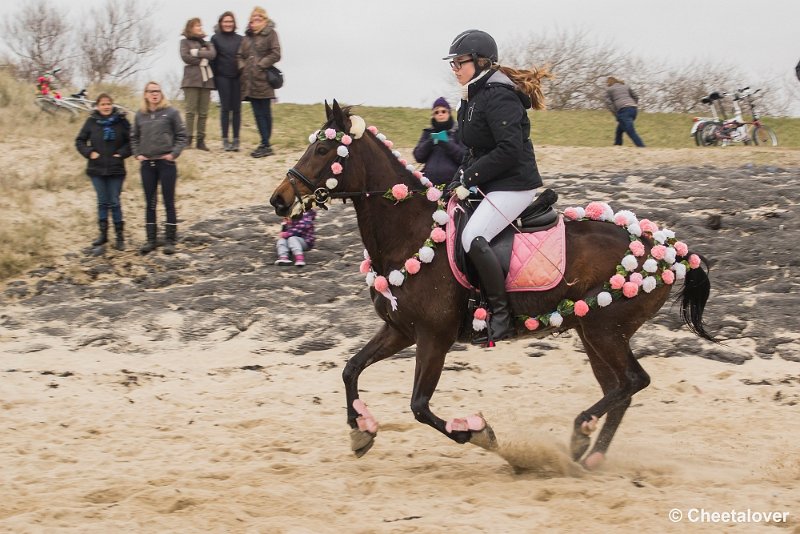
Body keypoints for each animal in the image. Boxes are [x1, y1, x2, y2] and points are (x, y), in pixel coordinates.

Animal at [268, 102, 712, 472]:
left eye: (323, 150)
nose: (278, 199)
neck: (410, 234)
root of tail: (665, 249)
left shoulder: (434, 338)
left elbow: (420, 406)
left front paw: (479, 434)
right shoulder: (400, 331)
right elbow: (350, 369)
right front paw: (360, 432)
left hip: (606, 330)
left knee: (633, 382)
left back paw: (578, 433)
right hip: (594, 333)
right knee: (620, 389)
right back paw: (588, 453)